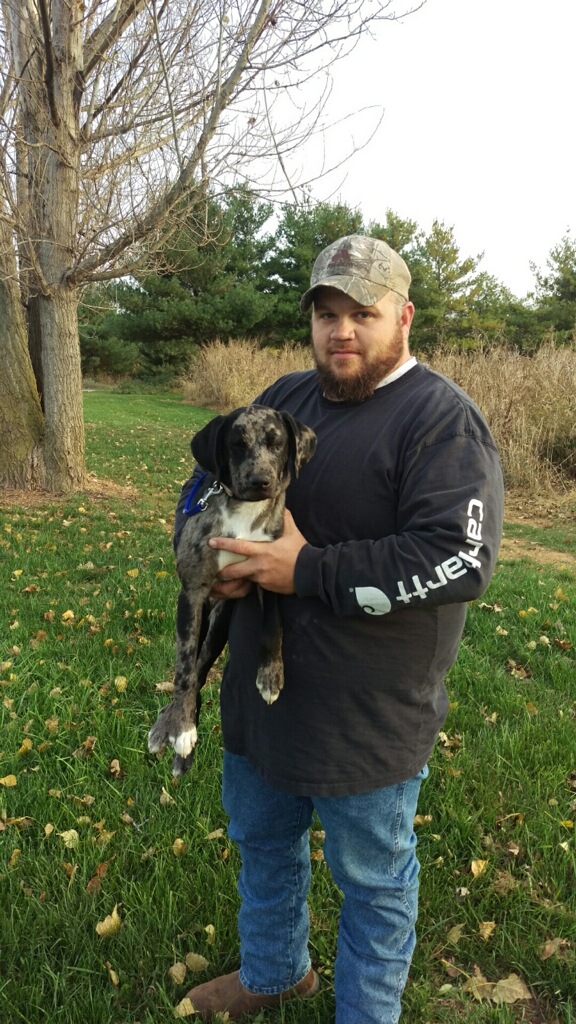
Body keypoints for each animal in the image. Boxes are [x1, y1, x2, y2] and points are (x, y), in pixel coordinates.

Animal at [147, 405, 317, 776]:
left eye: (277, 442)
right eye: (236, 444)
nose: (260, 482)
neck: (244, 516)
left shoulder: (271, 570)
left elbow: (272, 627)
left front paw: (270, 675)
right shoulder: (192, 593)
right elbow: (183, 668)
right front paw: (182, 728)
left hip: (220, 623)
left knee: (202, 667)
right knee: (193, 671)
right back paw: (172, 728)